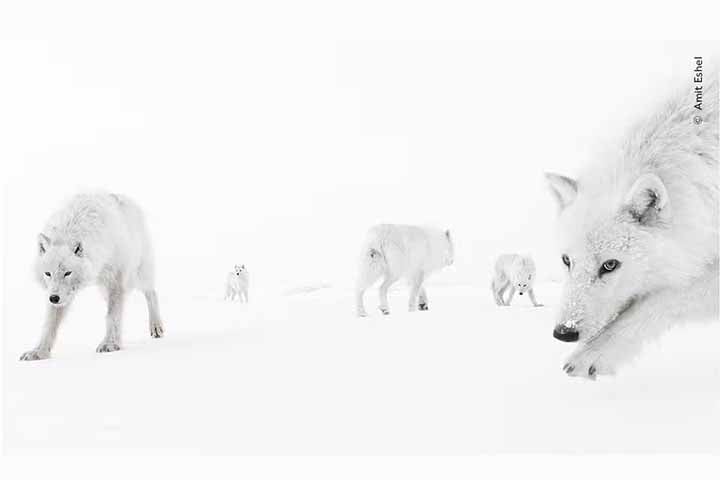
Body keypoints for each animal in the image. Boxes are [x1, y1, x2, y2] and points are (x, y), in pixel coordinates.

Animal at [20, 193, 164, 361]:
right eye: (48, 273)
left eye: (67, 273)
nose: (54, 298)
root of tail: (122, 197)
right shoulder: (58, 294)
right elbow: (49, 325)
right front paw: (39, 352)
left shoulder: (116, 281)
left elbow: (112, 316)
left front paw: (110, 344)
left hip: (138, 275)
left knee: (152, 293)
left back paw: (156, 326)